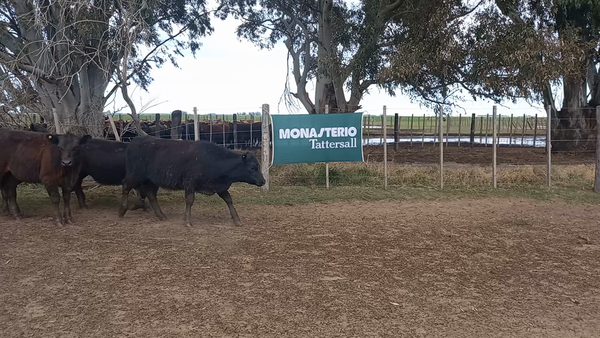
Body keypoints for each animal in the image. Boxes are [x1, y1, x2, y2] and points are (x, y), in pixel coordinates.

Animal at [117, 136, 264, 226]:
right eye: (252, 167)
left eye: (258, 166)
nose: (263, 181)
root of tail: (136, 140)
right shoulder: (189, 184)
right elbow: (190, 200)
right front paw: (187, 221)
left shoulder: (220, 187)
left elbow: (229, 200)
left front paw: (237, 219)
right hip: (135, 174)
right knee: (126, 186)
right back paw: (122, 211)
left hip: (151, 180)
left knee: (151, 195)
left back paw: (161, 215)